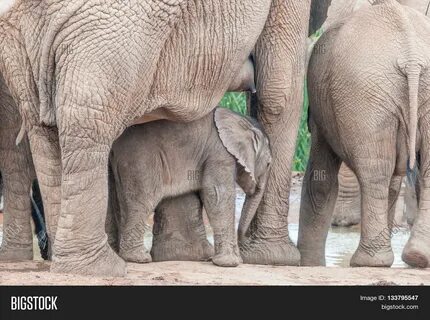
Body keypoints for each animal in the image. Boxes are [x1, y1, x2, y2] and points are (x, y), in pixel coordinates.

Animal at [111, 108, 272, 268]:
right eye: (269, 164)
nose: (244, 242)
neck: (243, 122)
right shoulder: (220, 153)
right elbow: (217, 194)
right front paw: (229, 263)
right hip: (140, 163)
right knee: (143, 201)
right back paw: (139, 258)